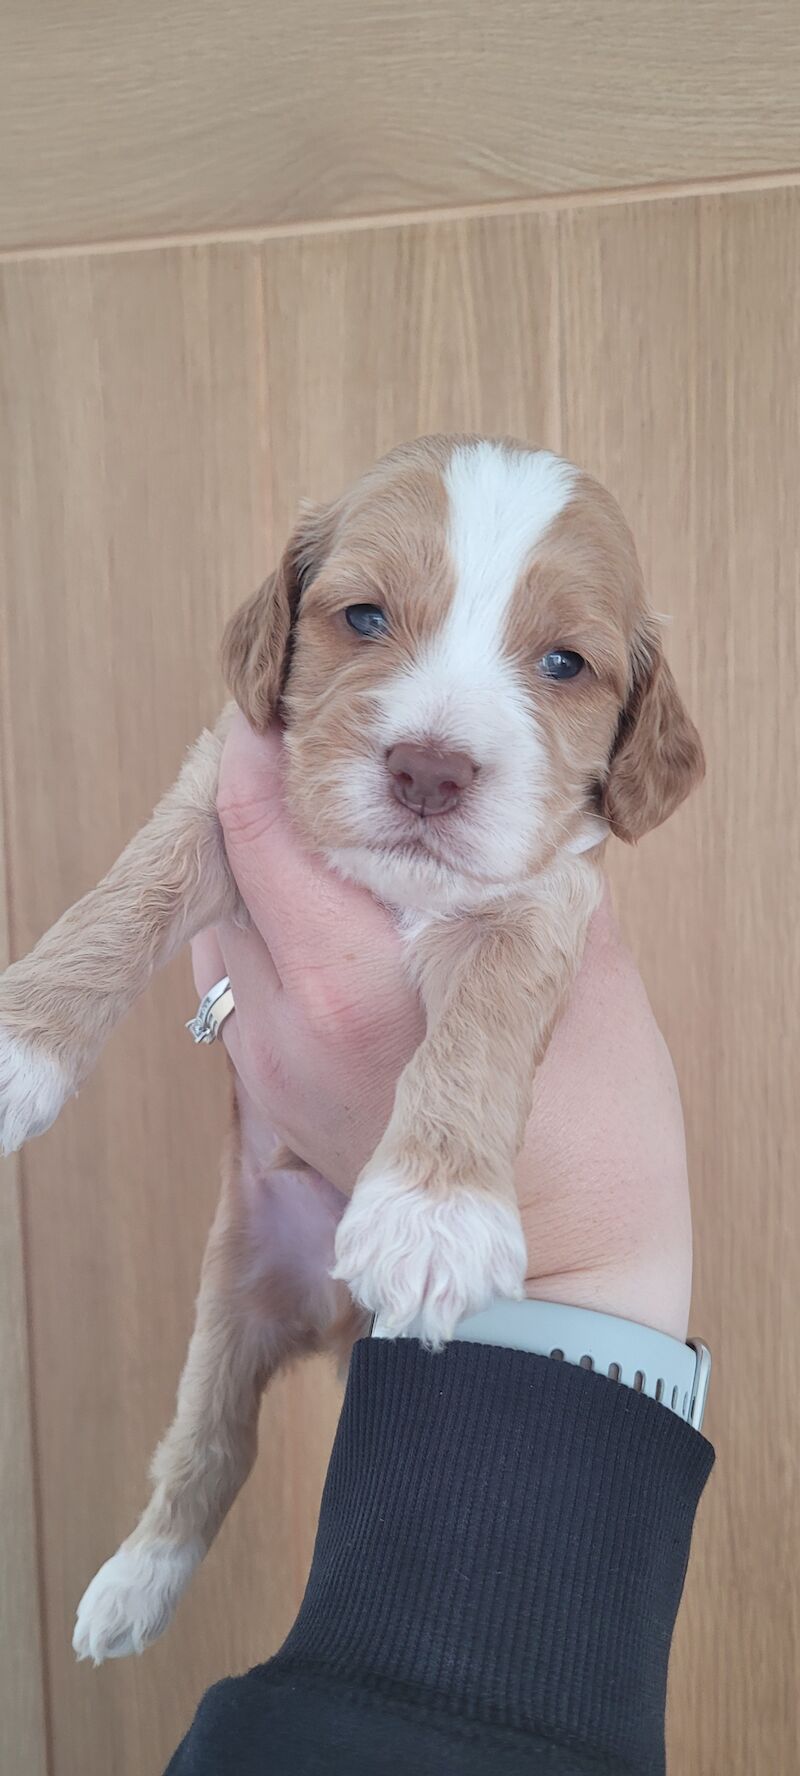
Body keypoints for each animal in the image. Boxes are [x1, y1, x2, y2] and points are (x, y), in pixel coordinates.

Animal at [0, 436, 700, 1655]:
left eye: (565, 662)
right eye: (364, 617)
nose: (429, 769)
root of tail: (329, 1323)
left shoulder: (538, 907)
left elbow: (479, 1029)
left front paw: (432, 1213)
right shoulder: (215, 793)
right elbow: (122, 901)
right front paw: (20, 1046)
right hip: (230, 1298)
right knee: (211, 1443)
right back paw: (135, 1582)